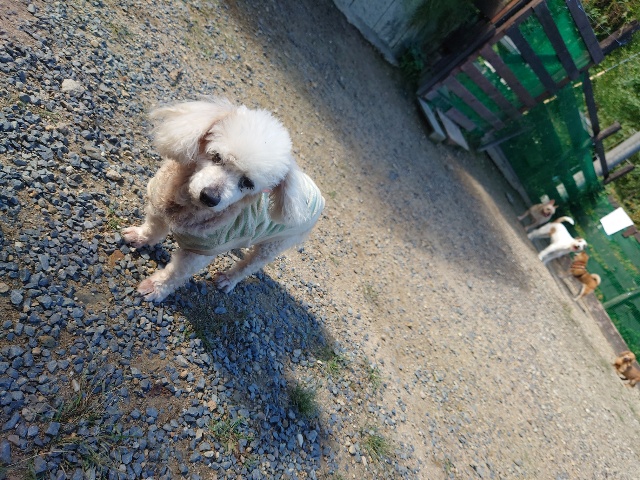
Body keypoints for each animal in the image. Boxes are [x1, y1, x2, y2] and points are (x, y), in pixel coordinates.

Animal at [122, 98, 325, 302]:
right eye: (216, 156)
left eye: (248, 182)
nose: (209, 197)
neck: (187, 206)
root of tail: (318, 194)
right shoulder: (159, 203)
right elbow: (153, 227)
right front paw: (139, 237)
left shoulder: (200, 251)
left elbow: (176, 273)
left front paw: (155, 288)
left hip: (274, 244)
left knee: (251, 264)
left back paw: (228, 279)